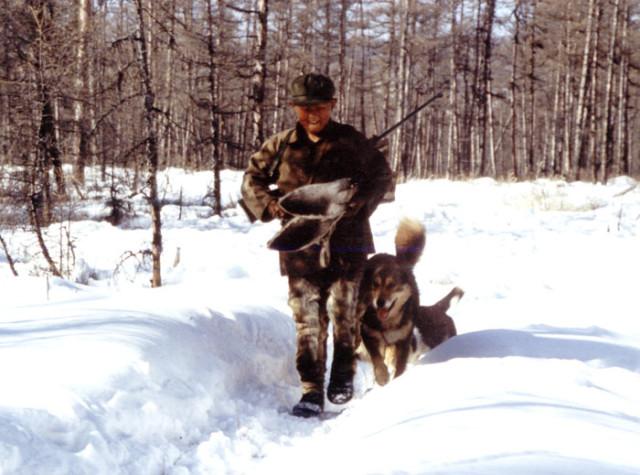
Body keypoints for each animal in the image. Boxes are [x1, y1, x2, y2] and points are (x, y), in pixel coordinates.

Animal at [358, 219, 462, 386]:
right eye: (375, 284)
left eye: (392, 285)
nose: (380, 302)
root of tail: (437, 309)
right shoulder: (369, 335)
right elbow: (378, 362)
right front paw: (382, 377)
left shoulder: (402, 343)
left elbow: (397, 367)